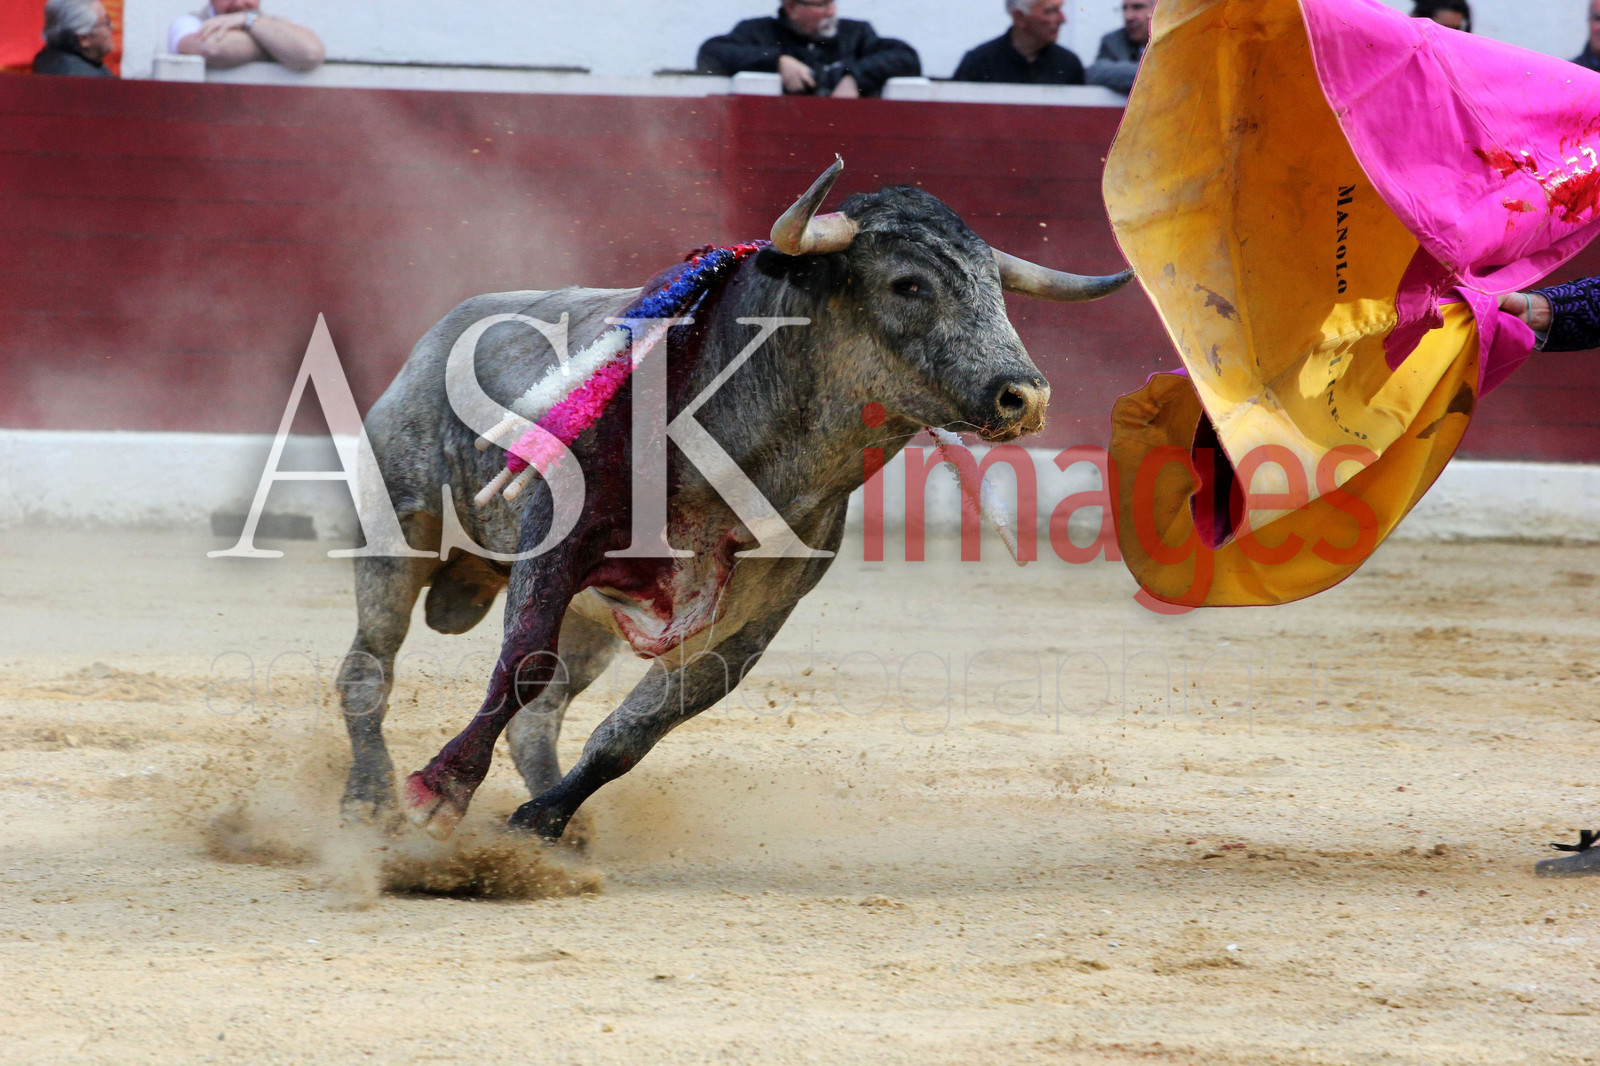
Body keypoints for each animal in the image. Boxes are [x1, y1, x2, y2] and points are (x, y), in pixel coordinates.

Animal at [334, 160, 1133, 843]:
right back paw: (367, 800)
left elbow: (634, 733)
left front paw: (540, 824)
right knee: (368, 669)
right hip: (395, 535)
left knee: (544, 717)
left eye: (996, 288)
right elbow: (524, 661)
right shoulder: (559, 543)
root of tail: (442, 333)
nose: (1024, 396)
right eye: (909, 284)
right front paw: (440, 792)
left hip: (594, 621)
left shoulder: (753, 621)